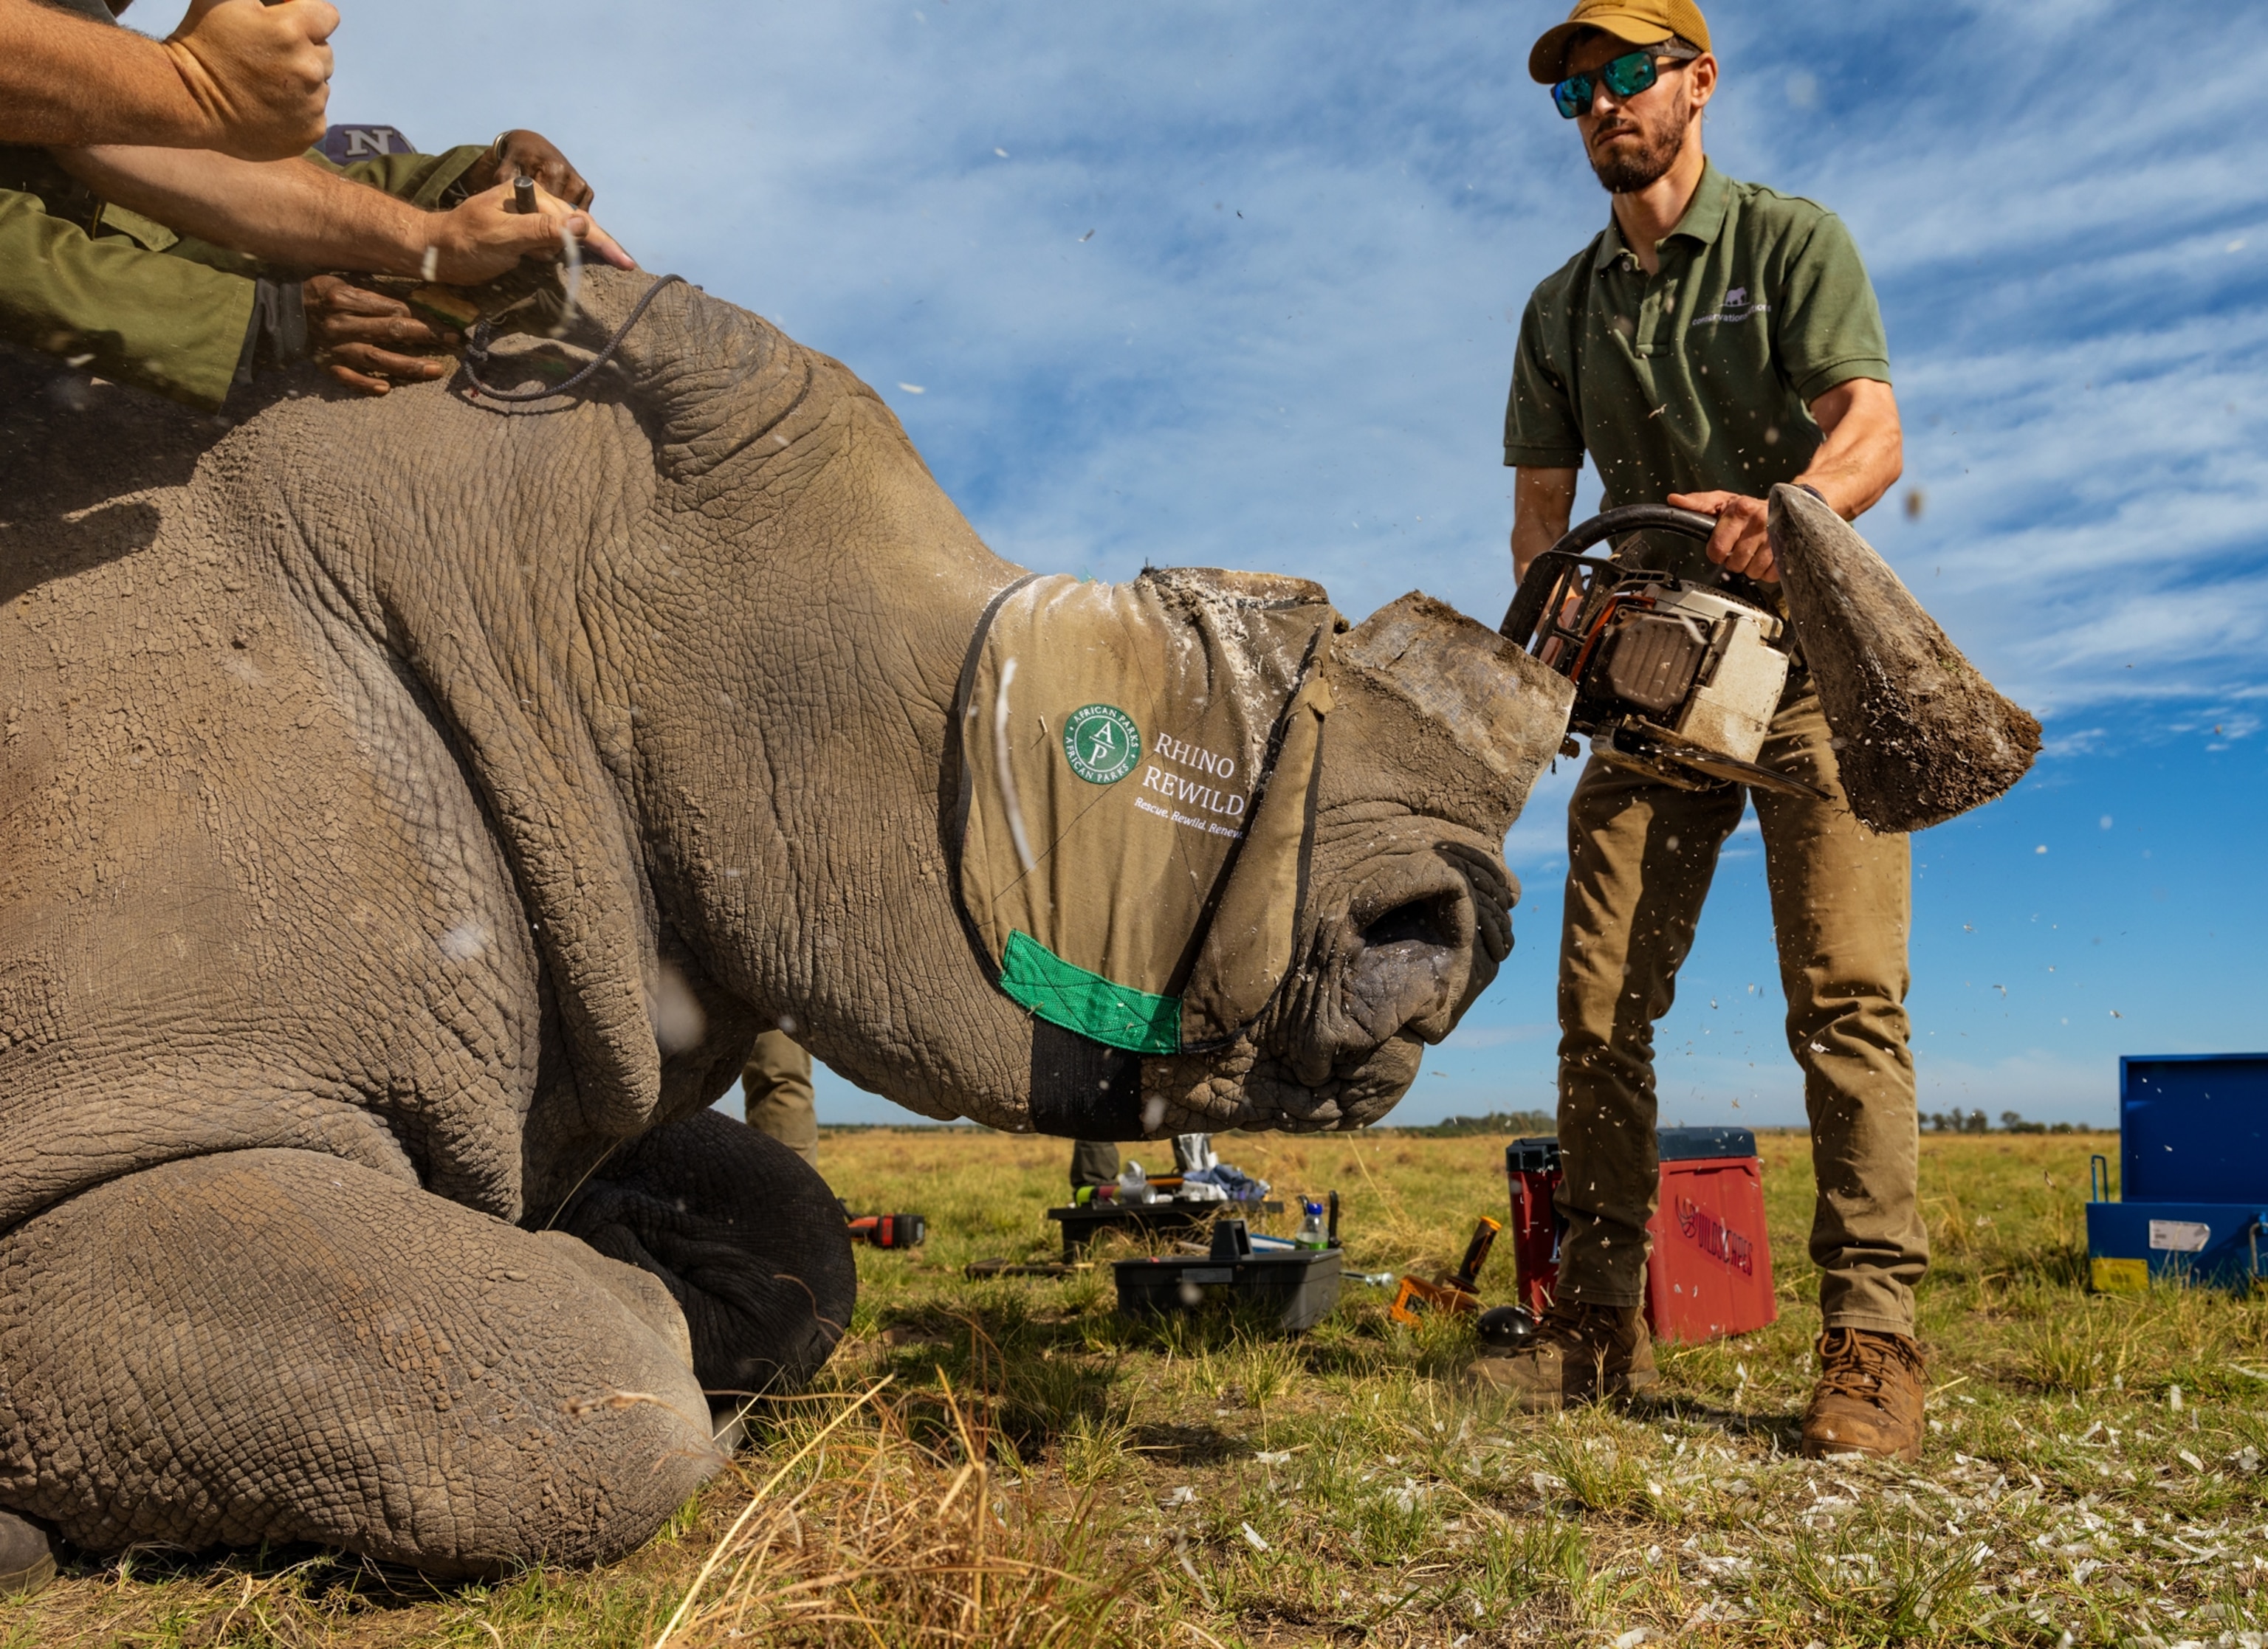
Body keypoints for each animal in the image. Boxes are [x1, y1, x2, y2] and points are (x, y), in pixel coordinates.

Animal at [0, 270, 1566, 1578]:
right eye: (1091, 750)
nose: (1455, 926)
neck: (549, 588)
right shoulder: (138, 1093)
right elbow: (566, 1389)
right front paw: (650, 1307)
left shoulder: (589, 1001)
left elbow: (802, 1228)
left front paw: (673, 1267)